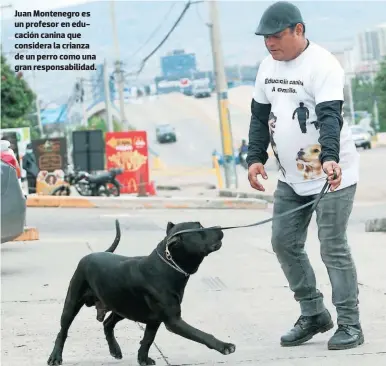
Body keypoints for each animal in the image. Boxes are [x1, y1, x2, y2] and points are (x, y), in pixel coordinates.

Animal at [48, 219, 235, 364]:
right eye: (200, 228)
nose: (219, 226)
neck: (168, 266)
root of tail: (92, 254)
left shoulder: (155, 320)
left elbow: (147, 340)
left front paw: (143, 359)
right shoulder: (173, 320)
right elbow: (202, 335)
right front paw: (224, 346)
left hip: (122, 307)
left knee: (107, 324)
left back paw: (115, 349)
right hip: (72, 303)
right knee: (63, 331)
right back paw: (55, 357)